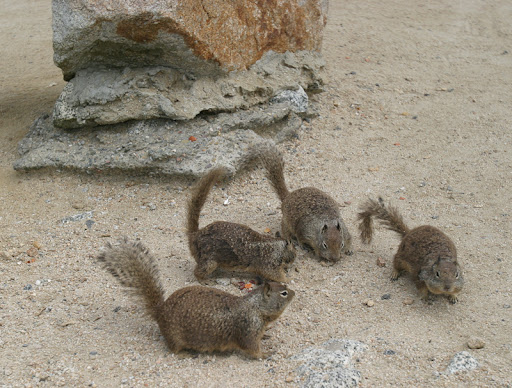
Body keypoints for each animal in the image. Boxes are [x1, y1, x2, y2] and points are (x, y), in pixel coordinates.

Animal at [97, 238, 296, 360]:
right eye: (283, 293)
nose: (294, 293)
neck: (256, 307)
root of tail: (160, 311)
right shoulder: (247, 329)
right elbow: (252, 349)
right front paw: (266, 353)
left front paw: (266, 335)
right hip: (175, 337)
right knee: (172, 349)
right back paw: (184, 354)